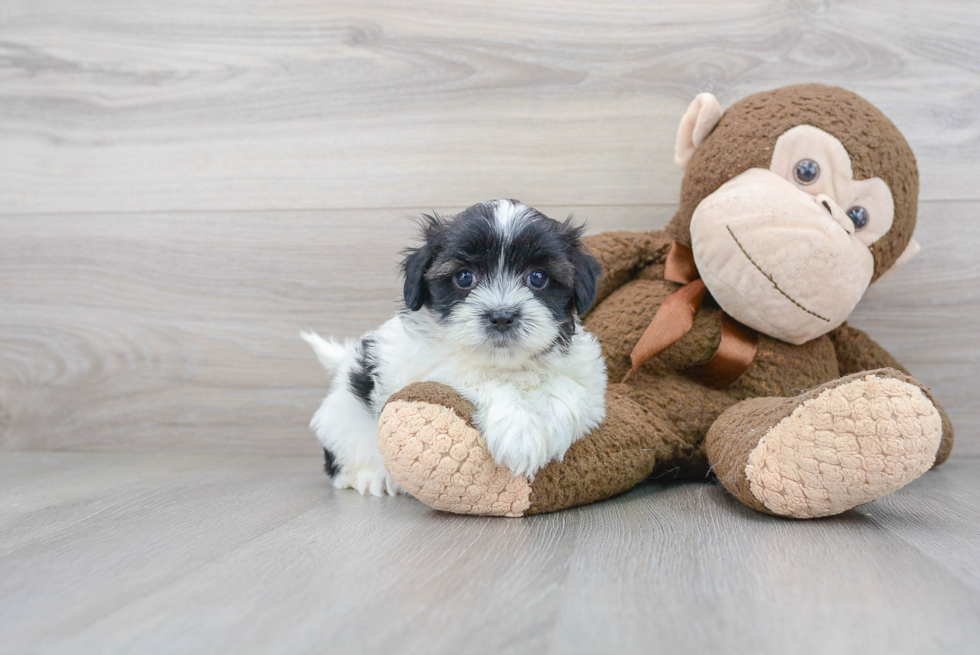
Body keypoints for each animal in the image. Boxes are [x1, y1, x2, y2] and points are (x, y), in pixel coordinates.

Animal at [302, 200, 604, 498]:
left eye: (538, 278)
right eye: (465, 277)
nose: (502, 316)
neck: (505, 364)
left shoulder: (589, 377)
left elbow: (568, 388)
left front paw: (553, 423)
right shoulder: (431, 372)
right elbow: (486, 381)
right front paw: (519, 434)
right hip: (342, 423)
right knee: (341, 463)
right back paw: (372, 477)